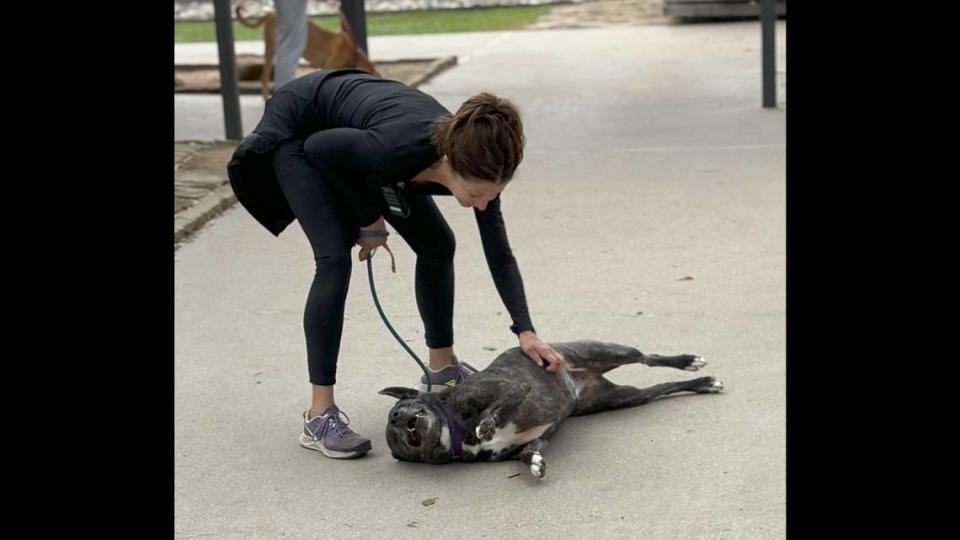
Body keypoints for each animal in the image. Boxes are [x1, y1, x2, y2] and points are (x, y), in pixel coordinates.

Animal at [378, 340, 724, 478]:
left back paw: (690, 362)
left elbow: (496, 408)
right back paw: (703, 383)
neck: (455, 430)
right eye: (395, 434)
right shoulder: (532, 440)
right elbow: (528, 453)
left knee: (647, 357)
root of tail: (578, 379)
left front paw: (486, 425)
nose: (402, 420)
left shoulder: (512, 389)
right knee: (661, 388)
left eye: (401, 410)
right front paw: (534, 464)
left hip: (606, 351)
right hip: (625, 398)